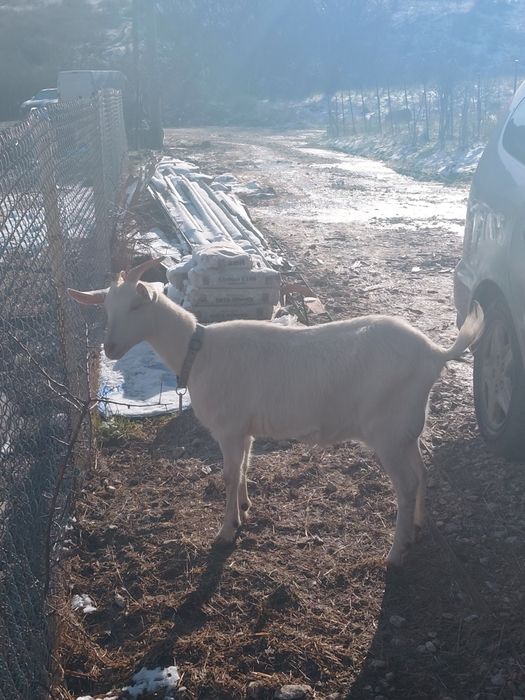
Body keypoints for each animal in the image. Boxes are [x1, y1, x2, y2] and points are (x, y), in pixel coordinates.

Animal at [68, 259, 484, 566]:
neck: (198, 350)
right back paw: (417, 527)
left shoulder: (228, 428)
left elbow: (228, 474)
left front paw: (225, 532)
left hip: (386, 431)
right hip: (407, 429)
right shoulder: (244, 429)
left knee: (406, 484)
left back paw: (396, 552)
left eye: (136, 305)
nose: (111, 348)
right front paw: (244, 508)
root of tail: (434, 353)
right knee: (421, 472)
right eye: (106, 308)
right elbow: (244, 468)